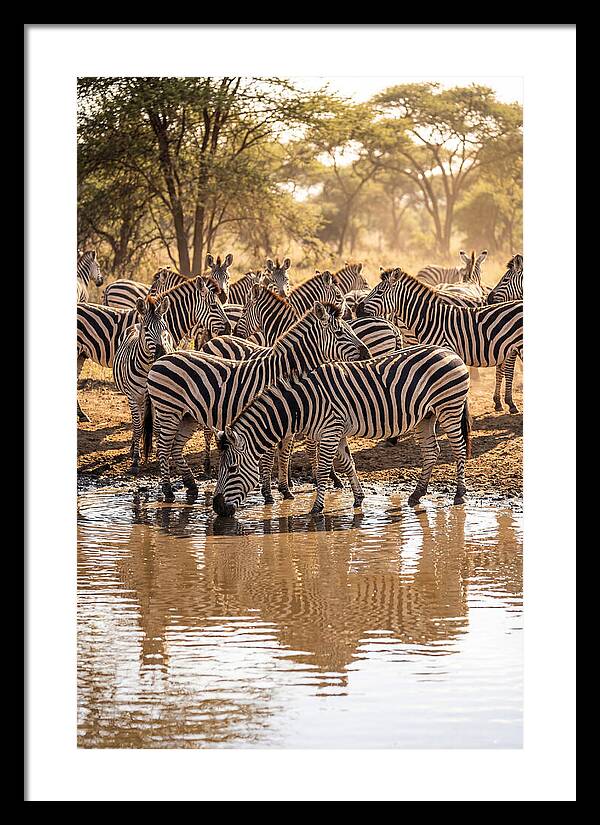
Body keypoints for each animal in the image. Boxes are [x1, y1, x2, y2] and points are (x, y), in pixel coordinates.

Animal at [113, 295, 175, 471]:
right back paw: (134, 447)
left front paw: (161, 454)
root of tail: (136, 324)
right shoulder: (133, 396)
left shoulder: (160, 398)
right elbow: (138, 425)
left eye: (165, 328)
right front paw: (135, 459)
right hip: (135, 397)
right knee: (138, 421)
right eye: (147, 330)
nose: (162, 354)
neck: (148, 368)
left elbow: (158, 427)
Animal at [142, 303, 370, 502]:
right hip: (168, 411)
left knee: (175, 448)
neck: (283, 371)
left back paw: (191, 485)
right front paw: (268, 494)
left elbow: (284, 454)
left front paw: (285, 490)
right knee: (163, 448)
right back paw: (168, 491)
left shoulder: (287, 420)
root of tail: (161, 359)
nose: (367, 353)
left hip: (187, 416)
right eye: (340, 333)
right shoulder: (271, 417)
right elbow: (269, 457)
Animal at [211, 344, 472, 517]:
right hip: (425, 416)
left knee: (458, 448)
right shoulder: (336, 432)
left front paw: (316, 509)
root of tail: (450, 352)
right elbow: (348, 464)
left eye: (232, 469)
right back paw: (417, 494)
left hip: (449, 407)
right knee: (431, 451)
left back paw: (460, 493)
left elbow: (323, 471)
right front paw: (358, 498)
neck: (303, 403)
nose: (217, 507)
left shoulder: (330, 431)